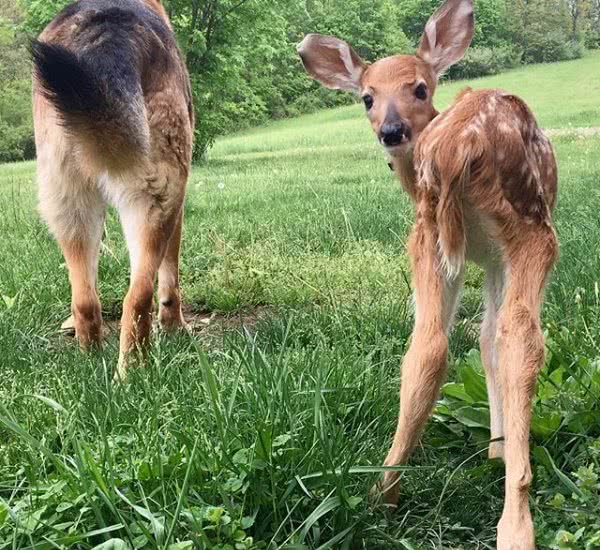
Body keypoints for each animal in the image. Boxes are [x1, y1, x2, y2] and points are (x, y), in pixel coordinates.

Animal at [298, 2, 556, 548]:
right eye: (366, 97)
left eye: (419, 87)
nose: (391, 130)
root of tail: (461, 142)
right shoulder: (497, 254)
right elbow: (491, 339)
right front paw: (500, 450)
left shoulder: (477, 254)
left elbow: (481, 340)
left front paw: (495, 447)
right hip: (533, 229)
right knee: (519, 336)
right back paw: (516, 521)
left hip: (426, 238)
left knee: (428, 343)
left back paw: (382, 493)